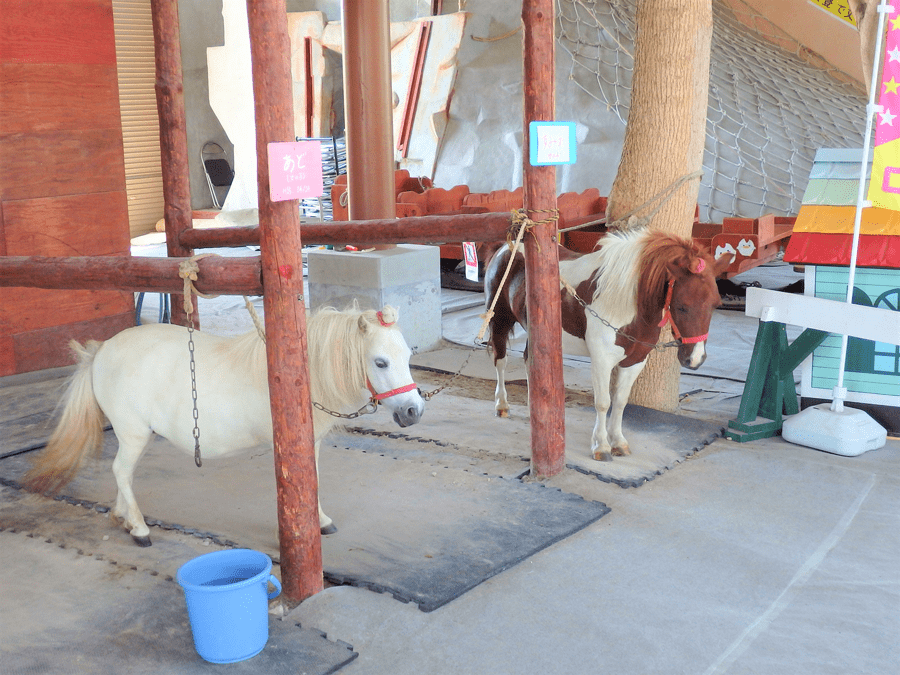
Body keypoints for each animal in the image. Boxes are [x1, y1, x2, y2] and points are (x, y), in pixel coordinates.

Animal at [23, 304, 426, 548]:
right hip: (132, 433)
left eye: (408, 356)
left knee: (123, 473)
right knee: (121, 470)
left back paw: (123, 516)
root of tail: (101, 352)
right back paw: (138, 528)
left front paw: (320, 521)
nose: (413, 411)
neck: (299, 374)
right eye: (380, 362)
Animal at [486, 230, 732, 462]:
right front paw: (601, 446)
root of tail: (505, 248)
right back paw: (502, 405)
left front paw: (619, 442)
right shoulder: (602, 361)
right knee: (501, 361)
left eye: (715, 304)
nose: (695, 359)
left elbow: (620, 401)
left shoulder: (635, 361)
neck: (626, 305)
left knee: (530, 361)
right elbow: (603, 402)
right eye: (681, 306)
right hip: (499, 322)